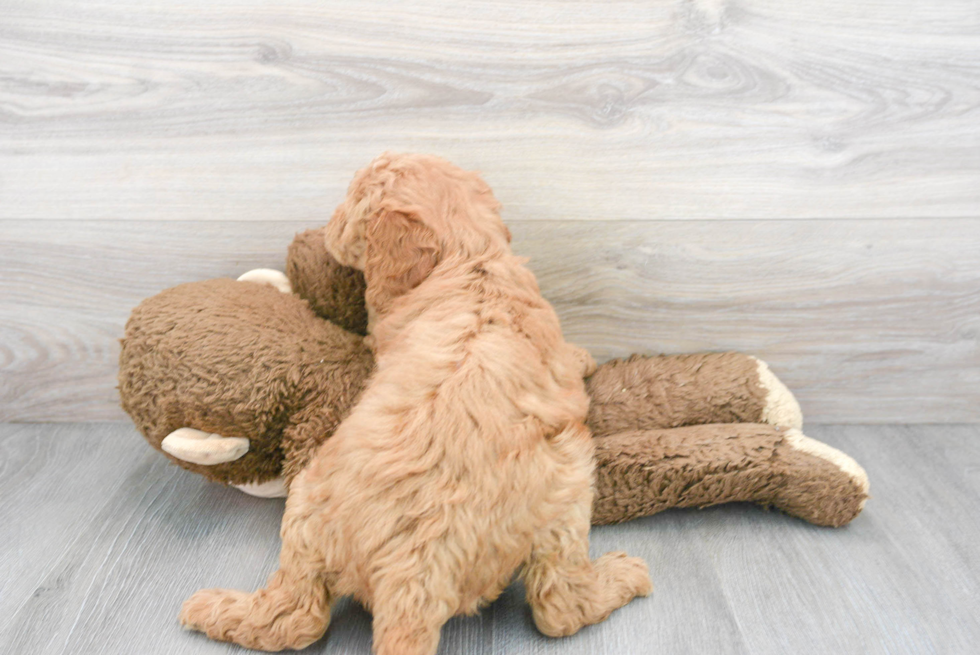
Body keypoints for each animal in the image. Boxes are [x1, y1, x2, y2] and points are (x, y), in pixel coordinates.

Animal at [178, 155, 652, 655]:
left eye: (351, 203)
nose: (327, 228)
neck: (472, 257)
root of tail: (410, 573)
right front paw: (583, 357)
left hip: (307, 507)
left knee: (294, 616)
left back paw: (212, 607)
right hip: (570, 478)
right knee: (560, 609)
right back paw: (624, 574)